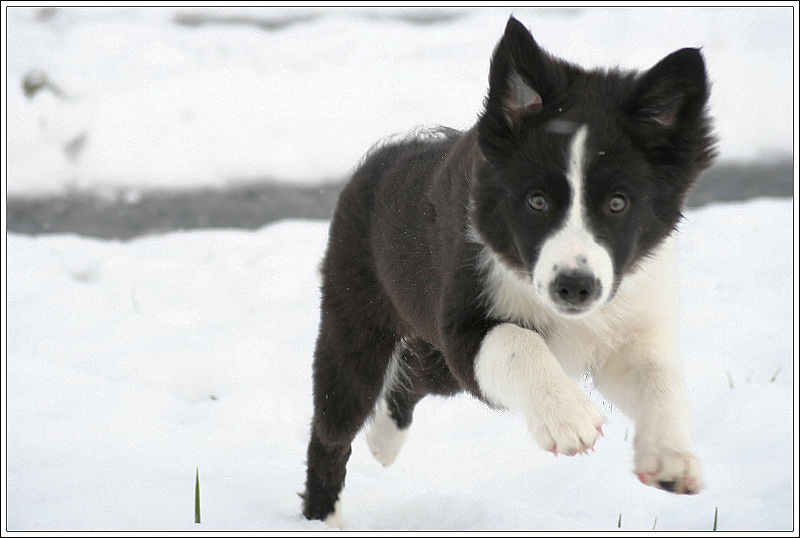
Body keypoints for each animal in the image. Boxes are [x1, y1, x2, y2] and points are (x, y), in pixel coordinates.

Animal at [300, 15, 712, 524]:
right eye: (537, 201)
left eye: (618, 204)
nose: (574, 287)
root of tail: (379, 160)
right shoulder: (464, 322)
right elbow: (516, 340)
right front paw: (569, 418)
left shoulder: (625, 327)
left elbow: (660, 378)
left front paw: (671, 458)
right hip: (357, 320)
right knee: (333, 427)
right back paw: (323, 517)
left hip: (432, 348)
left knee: (413, 374)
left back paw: (383, 440)